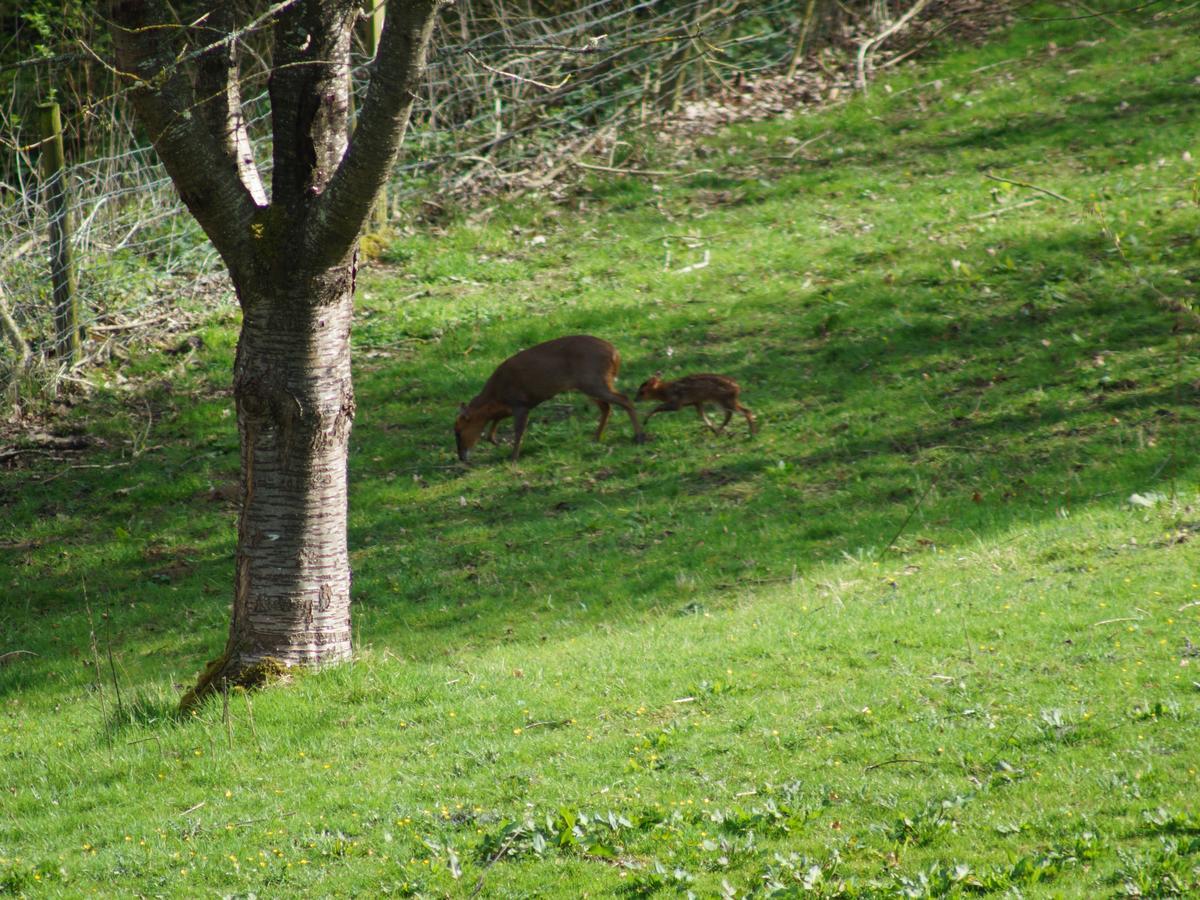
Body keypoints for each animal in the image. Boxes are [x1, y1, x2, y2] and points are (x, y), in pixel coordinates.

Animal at [451, 336, 643, 460]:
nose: (461, 457)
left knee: (625, 399)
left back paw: (639, 436)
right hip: (588, 384)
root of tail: (616, 355)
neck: (495, 394)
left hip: (594, 381)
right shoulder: (508, 407)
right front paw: (496, 441)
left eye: (458, 432)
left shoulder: (520, 403)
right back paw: (596, 438)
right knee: (607, 407)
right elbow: (493, 424)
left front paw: (513, 456)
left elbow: (518, 430)